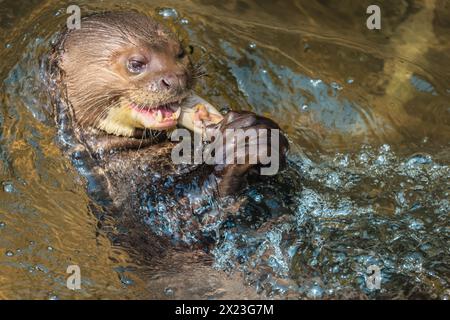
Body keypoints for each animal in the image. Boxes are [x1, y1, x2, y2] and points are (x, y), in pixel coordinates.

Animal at [48, 11, 288, 244]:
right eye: (136, 63)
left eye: (180, 53)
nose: (177, 78)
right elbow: (183, 219)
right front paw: (236, 146)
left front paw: (263, 132)